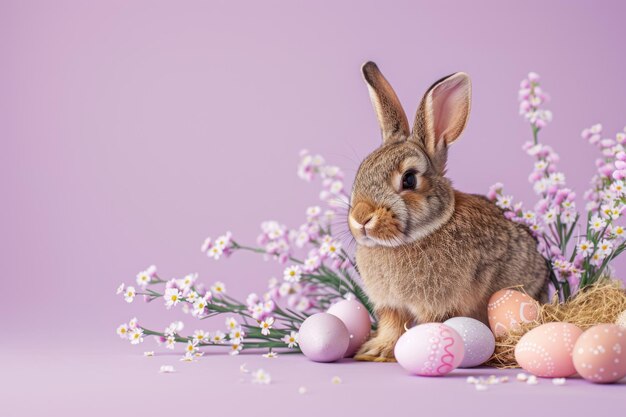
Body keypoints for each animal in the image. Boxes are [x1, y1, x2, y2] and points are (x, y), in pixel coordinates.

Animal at [348, 61, 548, 360]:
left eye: (409, 179)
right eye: (361, 171)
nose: (361, 217)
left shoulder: (438, 305)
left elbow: (430, 326)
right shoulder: (390, 306)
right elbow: (392, 326)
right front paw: (375, 350)